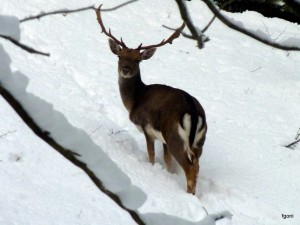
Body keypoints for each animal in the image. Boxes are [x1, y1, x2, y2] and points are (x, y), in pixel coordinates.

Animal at [95, 5, 206, 195]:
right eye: (120, 56)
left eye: (138, 59)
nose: (126, 70)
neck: (135, 100)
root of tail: (192, 111)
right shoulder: (164, 141)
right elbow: (167, 161)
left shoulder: (147, 127)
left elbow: (152, 156)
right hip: (199, 141)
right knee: (196, 165)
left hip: (175, 136)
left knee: (190, 168)